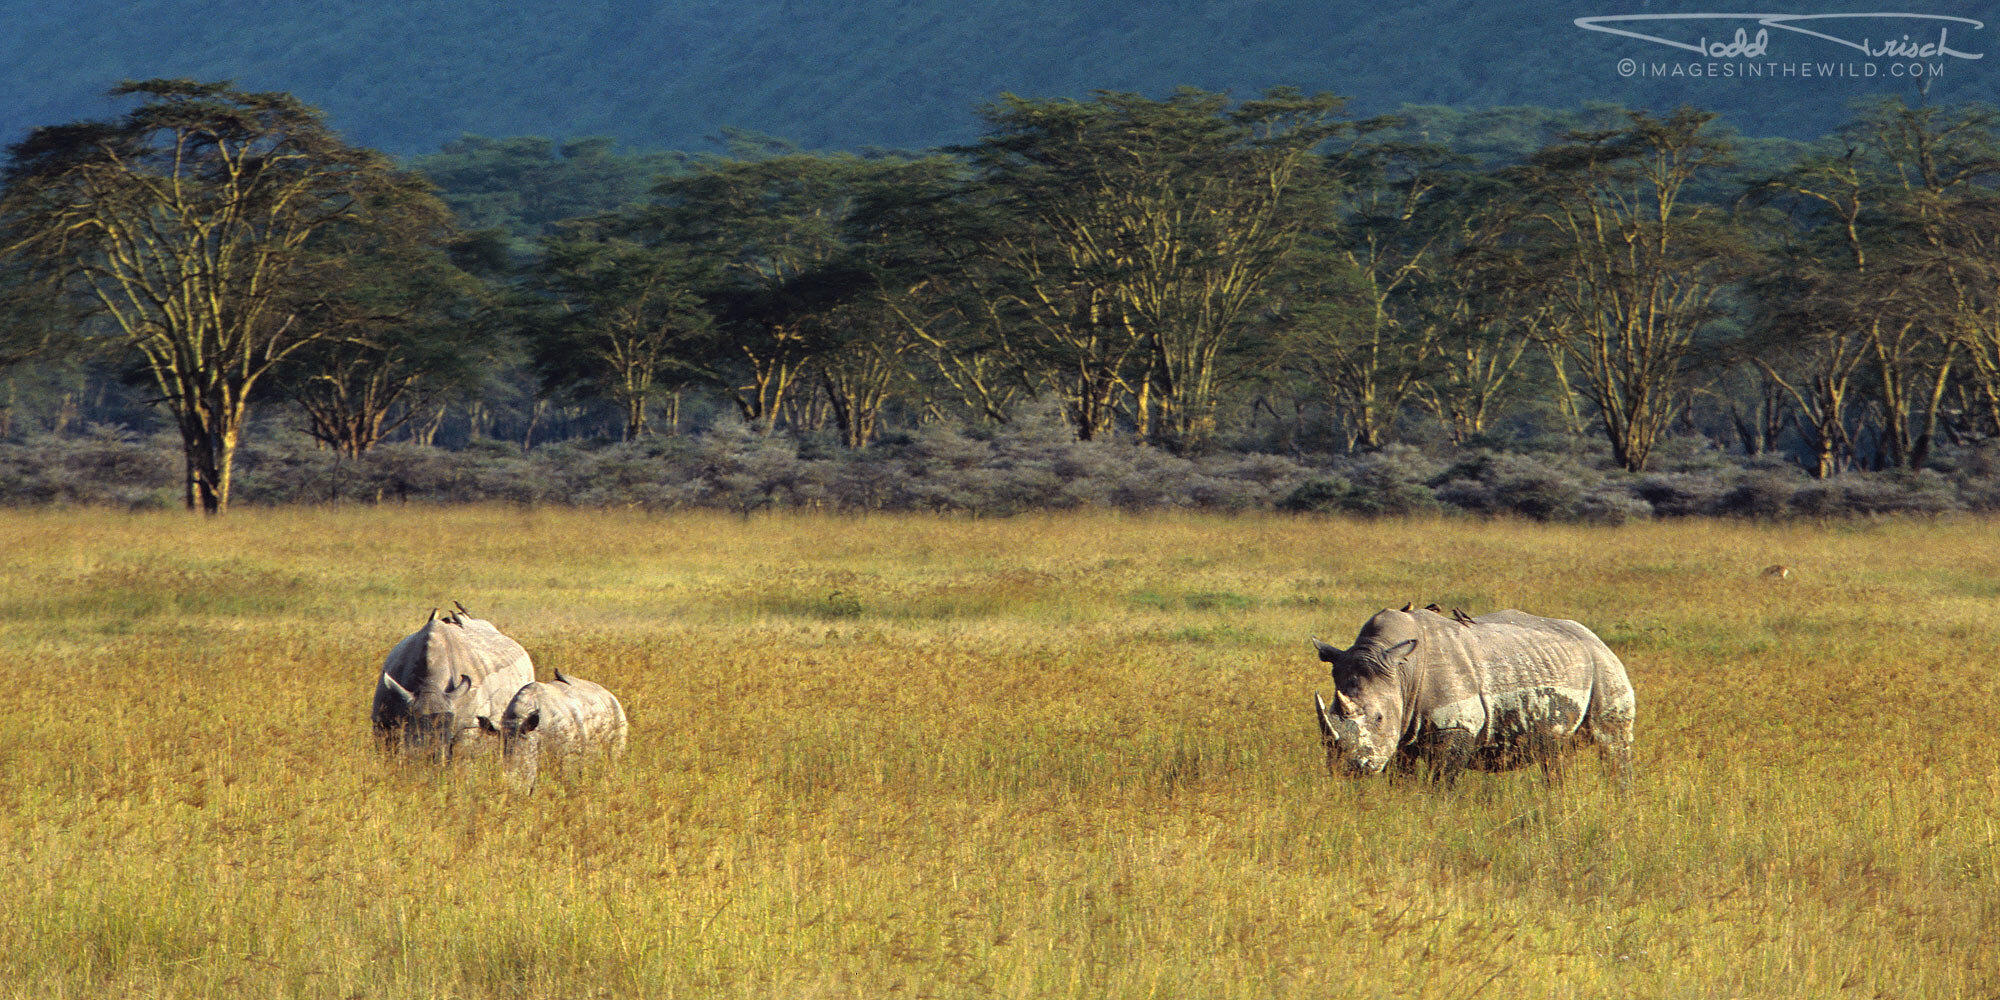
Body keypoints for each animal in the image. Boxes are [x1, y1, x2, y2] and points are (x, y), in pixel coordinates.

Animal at [476, 668, 624, 792]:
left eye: (526, 771)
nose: (512, 791)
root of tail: (607, 692)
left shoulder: (568, 753)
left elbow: (566, 778)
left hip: (616, 711)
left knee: (613, 758)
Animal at [1312, 604, 1640, 784]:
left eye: (1379, 718)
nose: (1349, 770)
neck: (1402, 669)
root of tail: (1595, 638)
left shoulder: (1457, 724)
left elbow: (1442, 778)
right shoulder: (1402, 728)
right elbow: (1400, 776)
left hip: (1604, 665)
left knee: (1613, 742)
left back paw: (1618, 800)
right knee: (1555, 752)